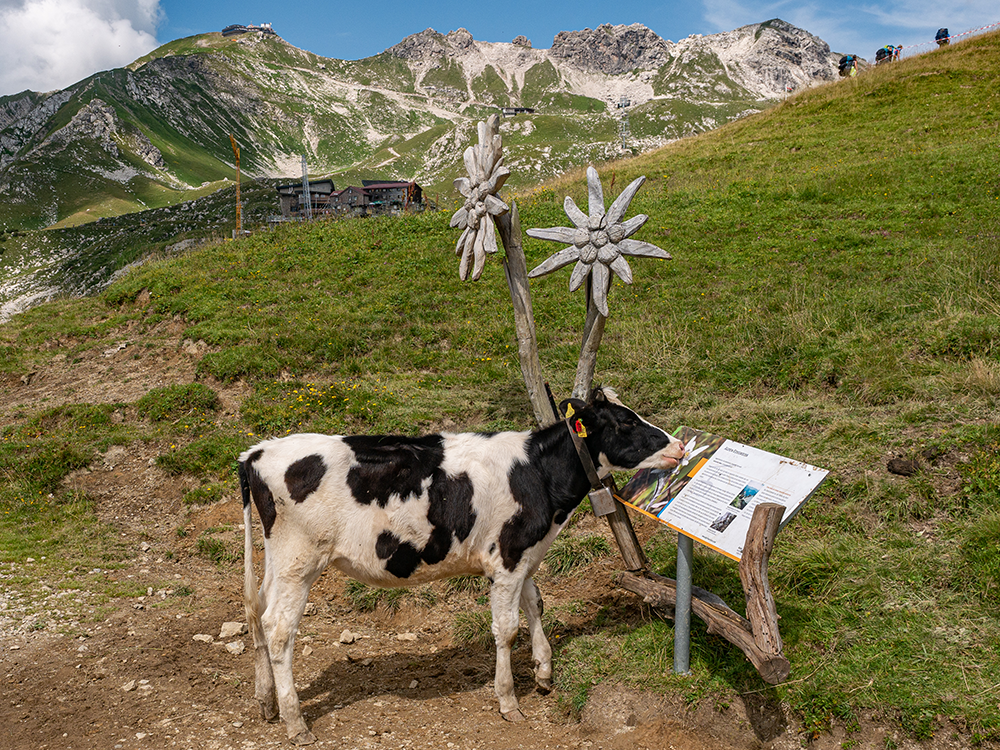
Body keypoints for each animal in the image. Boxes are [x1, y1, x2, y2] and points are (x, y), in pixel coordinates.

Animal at [238, 388, 684, 748]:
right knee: (279, 629)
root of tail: (257, 452)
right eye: (626, 421)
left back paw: (265, 701)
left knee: (258, 611)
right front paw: (508, 700)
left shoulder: (522, 554)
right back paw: (295, 722)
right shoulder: (507, 556)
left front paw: (543, 671)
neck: (538, 473)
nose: (679, 445)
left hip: (279, 559)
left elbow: (535, 604)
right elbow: (507, 628)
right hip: (300, 560)